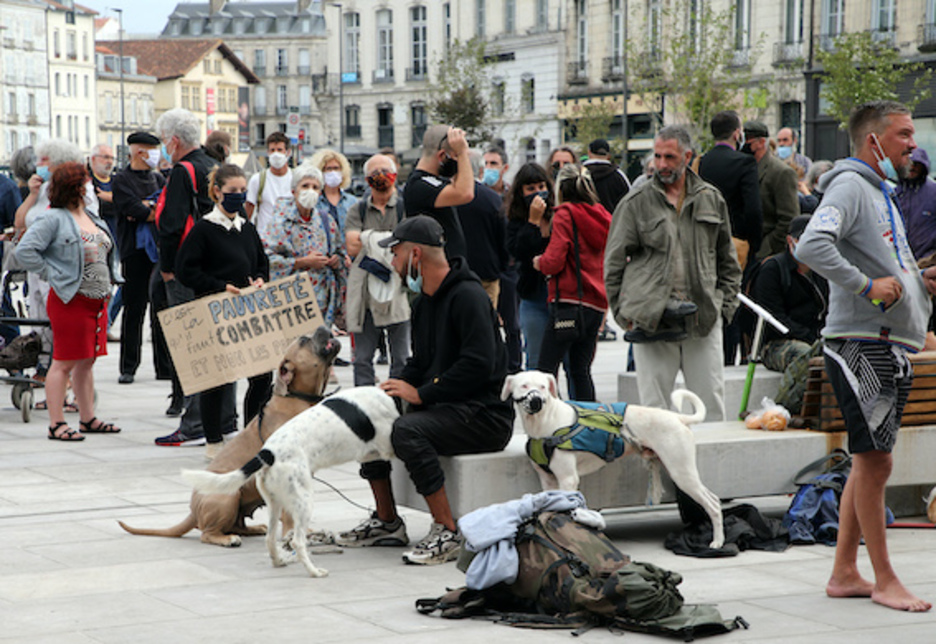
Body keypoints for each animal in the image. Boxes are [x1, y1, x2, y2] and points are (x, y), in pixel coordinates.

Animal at [115, 330, 338, 544]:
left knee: (236, 525)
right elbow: (289, 513)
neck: (299, 399)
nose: (324, 327)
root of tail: (193, 511)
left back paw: (255, 529)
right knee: (208, 533)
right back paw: (228, 539)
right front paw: (292, 534)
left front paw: (307, 532)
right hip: (229, 494)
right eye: (303, 340)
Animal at [184, 388, 398, 580]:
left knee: (270, 538)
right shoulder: (388, 449)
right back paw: (314, 572)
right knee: (297, 542)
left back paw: (279, 561)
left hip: (275, 503)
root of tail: (268, 453)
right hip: (304, 502)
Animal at [504, 372, 724, 548]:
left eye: (542, 386)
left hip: (682, 471)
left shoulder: (568, 478)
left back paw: (717, 541)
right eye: (524, 385)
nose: (536, 400)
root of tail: (678, 418)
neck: (545, 422)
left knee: (713, 503)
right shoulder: (548, 479)